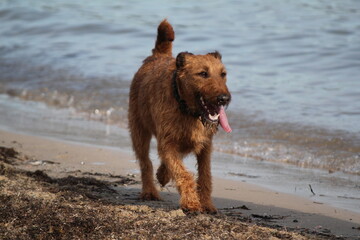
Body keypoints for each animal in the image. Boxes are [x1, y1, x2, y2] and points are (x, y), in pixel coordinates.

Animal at [128, 20, 232, 212]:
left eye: (223, 74)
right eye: (203, 74)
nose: (224, 98)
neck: (188, 110)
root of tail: (158, 56)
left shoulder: (205, 146)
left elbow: (205, 176)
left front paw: (206, 203)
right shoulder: (167, 143)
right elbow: (184, 174)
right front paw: (191, 202)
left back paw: (162, 175)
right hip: (138, 131)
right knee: (145, 163)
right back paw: (149, 191)